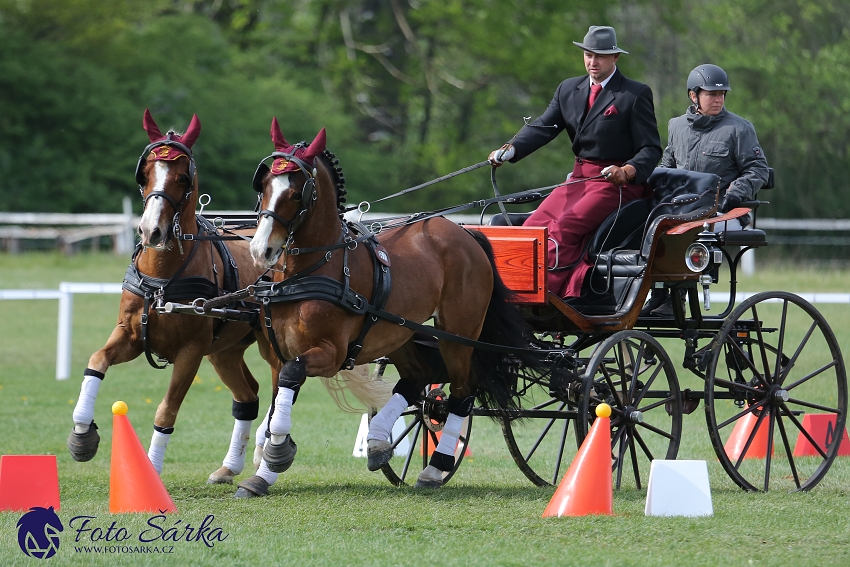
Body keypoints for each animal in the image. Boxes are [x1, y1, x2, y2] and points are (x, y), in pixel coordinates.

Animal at [68, 110, 282, 484]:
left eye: (183, 177)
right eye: (145, 173)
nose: (151, 230)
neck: (163, 278)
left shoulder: (190, 352)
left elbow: (166, 411)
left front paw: (151, 472)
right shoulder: (131, 335)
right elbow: (96, 361)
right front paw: (82, 434)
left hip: (268, 344)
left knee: (276, 391)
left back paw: (264, 451)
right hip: (223, 351)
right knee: (247, 396)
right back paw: (230, 466)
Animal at [237, 120, 536, 496]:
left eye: (296, 193)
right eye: (263, 186)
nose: (261, 249)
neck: (311, 269)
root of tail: (467, 234)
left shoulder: (330, 353)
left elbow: (290, 382)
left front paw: (275, 455)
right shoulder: (279, 354)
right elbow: (279, 400)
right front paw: (263, 472)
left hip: (457, 334)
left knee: (461, 393)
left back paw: (434, 468)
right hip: (402, 332)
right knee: (416, 379)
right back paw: (379, 441)